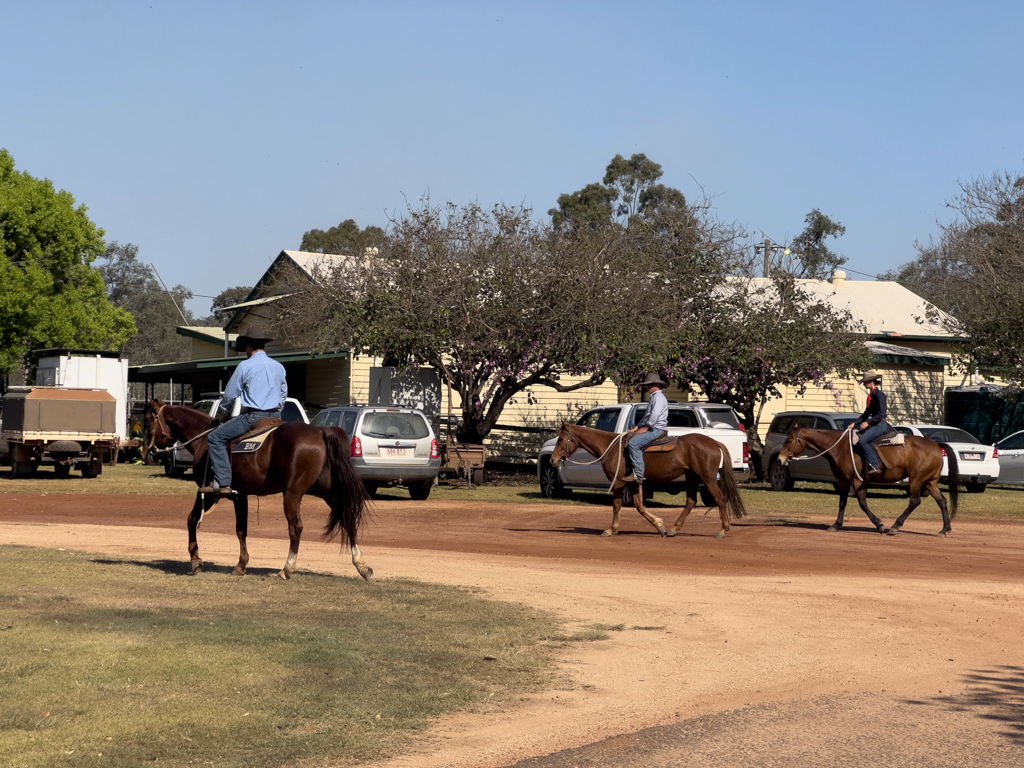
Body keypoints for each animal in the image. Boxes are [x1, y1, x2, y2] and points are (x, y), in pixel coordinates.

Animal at [142, 399, 370, 581]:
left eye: (148, 422)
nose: (146, 451)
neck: (203, 440)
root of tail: (320, 431)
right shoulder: (240, 495)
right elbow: (241, 529)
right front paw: (241, 565)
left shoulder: (207, 492)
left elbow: (192, 519)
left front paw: (196, 560)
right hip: (329, 492)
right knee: (348, 519)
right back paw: (362, 566)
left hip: (293, 494)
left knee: (296, 528)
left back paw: (287, 569)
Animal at [548, 421, 749, 540]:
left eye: (561, 439)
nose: (552, 460)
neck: (612, 448)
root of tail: (715, 443)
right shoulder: (633, 483)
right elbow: (639, 506)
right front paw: (659, 526)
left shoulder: (619, 483)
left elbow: (616, 506)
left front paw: (611, 529)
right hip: (691, 477)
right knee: (690, 501)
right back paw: (674, 529)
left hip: (707, 478)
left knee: (720, 499)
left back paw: (722, 530)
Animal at [774, 423, 958, 536]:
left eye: (790, 440)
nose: (780, 460)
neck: (840, 447)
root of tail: (936, 444)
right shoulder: (843, 480)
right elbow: (842, 503)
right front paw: (836, 525)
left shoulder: (858, 481)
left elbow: (863, 504)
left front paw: (880, 525)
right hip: (930, 482)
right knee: (942, 501)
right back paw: (944, 529)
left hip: (916, 480)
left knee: (914, 501)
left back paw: (894, 526)